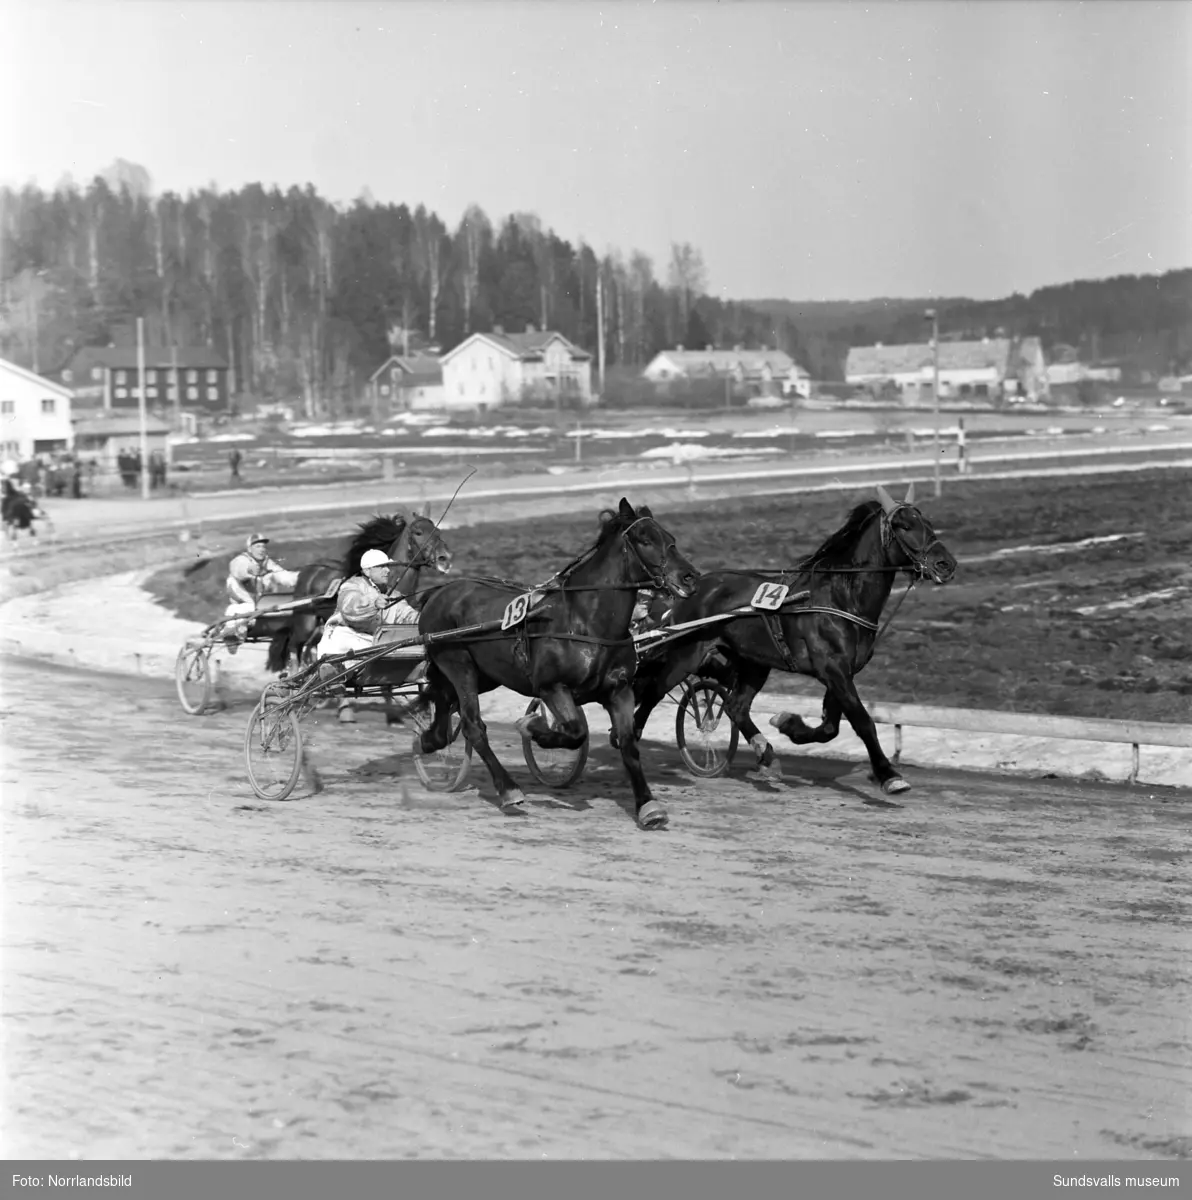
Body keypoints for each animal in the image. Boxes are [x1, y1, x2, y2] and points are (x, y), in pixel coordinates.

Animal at [415, 501, 696, 830]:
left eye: (670, 537)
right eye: (645, 540)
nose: (690, 577)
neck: (585, 622)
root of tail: (438, 592)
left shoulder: (619, 689)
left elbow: (628, 743)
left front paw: (648, 806)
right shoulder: (552, 687)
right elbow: (575, 732)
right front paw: (531, 726)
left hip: (486, 674)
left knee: (445, 701)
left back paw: (430, 740)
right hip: (459, 664)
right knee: (473, 725)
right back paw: (508, 789)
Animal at [624, 482, 960, 792]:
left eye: (928, 522)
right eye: (904, 526)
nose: (946, 564)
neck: (841, 598)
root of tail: (692, 589)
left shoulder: (841, 672)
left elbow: (830, 727)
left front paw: (788, 723)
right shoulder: (833, 668)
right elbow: (862, 720)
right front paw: (888, 774)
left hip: (753, 662)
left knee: (735, 706)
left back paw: (767, 757)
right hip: (687, 655)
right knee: (654, 691)